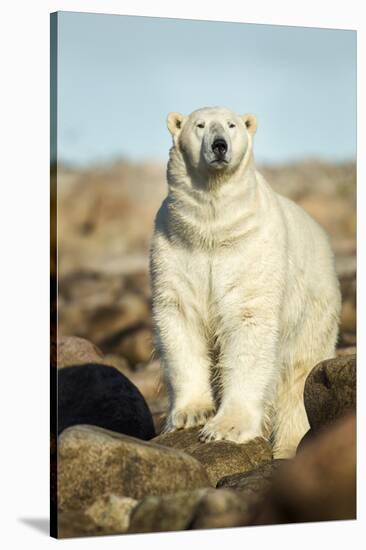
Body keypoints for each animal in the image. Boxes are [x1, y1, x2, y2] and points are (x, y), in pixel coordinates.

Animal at [149, 105, 340, 460]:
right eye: (200, 125)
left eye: (231, 124)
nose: (219, 145)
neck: (213, 228)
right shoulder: (174, 251)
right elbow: (181, 317)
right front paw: (191, 414)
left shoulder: (251, 252)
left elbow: (247, 322)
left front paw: (226, 429)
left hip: (314, 310)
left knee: (298, 377)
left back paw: (288, 447)